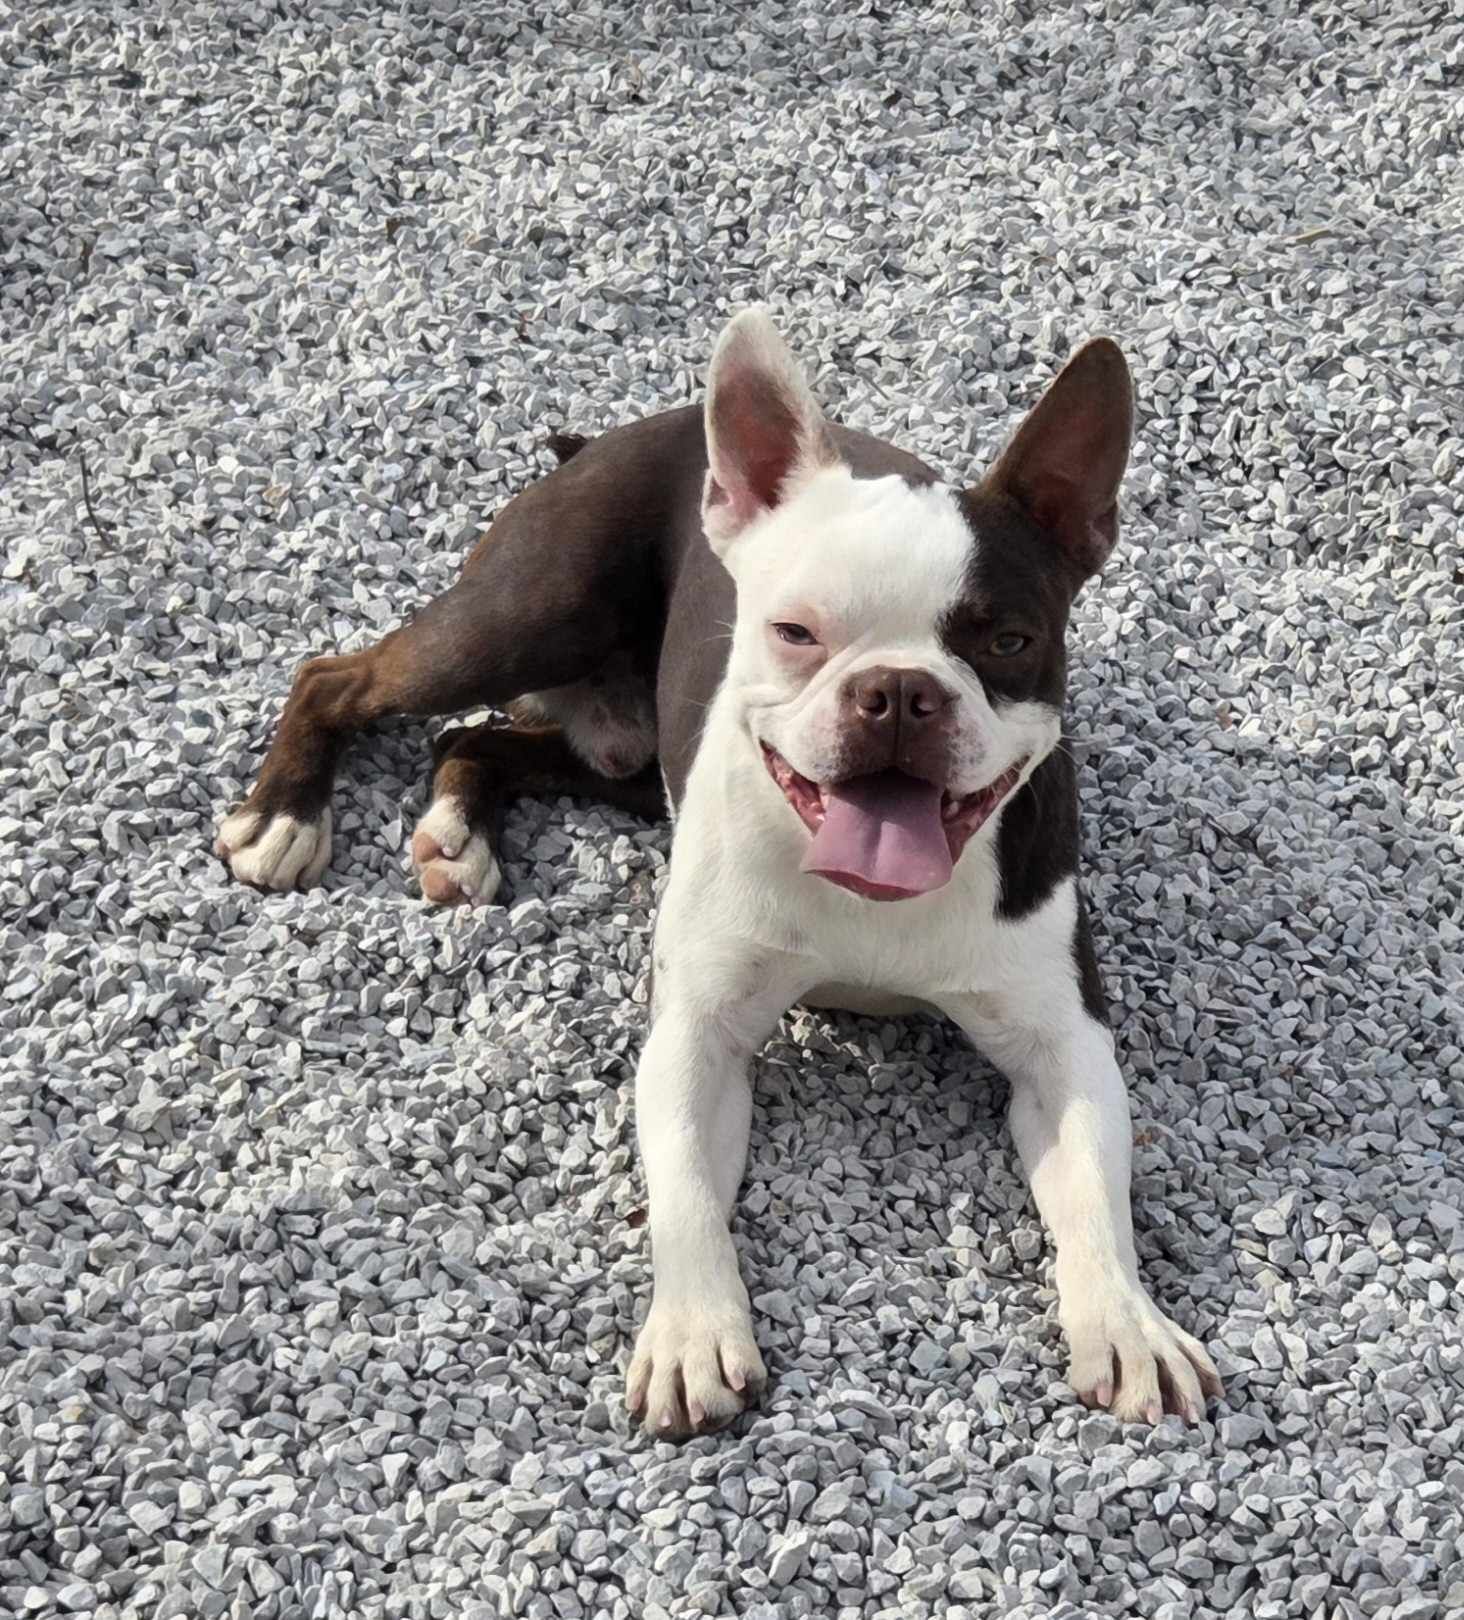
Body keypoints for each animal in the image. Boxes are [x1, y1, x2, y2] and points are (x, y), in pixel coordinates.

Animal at [217, 309, 1223, 1436]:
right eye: (793, 632)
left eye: (1010, 641)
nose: (898, 691)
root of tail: (621, 435)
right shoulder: (698, 1036)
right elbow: (689, 1195)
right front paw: (695, 1335)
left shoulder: (1062, 1049)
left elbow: (1093, 1189)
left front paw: (1128, 1326)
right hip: (525, 616)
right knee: (342, 677)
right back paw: (282, 817)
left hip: (626, 754)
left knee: (475, 738)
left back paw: (454, 832)